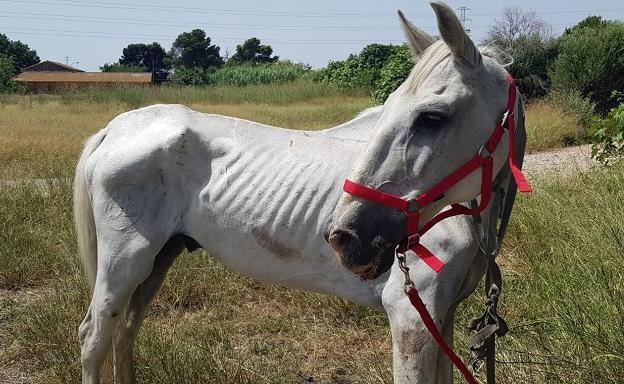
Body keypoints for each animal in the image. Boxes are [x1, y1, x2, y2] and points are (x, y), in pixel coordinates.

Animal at [72, 2, 520, 380]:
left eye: (431, 117)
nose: (346, 236)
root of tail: (118, 127)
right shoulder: (412, 319)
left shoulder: (441, 318)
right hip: (124, 261)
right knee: (94, 337)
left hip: (159, 258)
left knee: (125, 330)